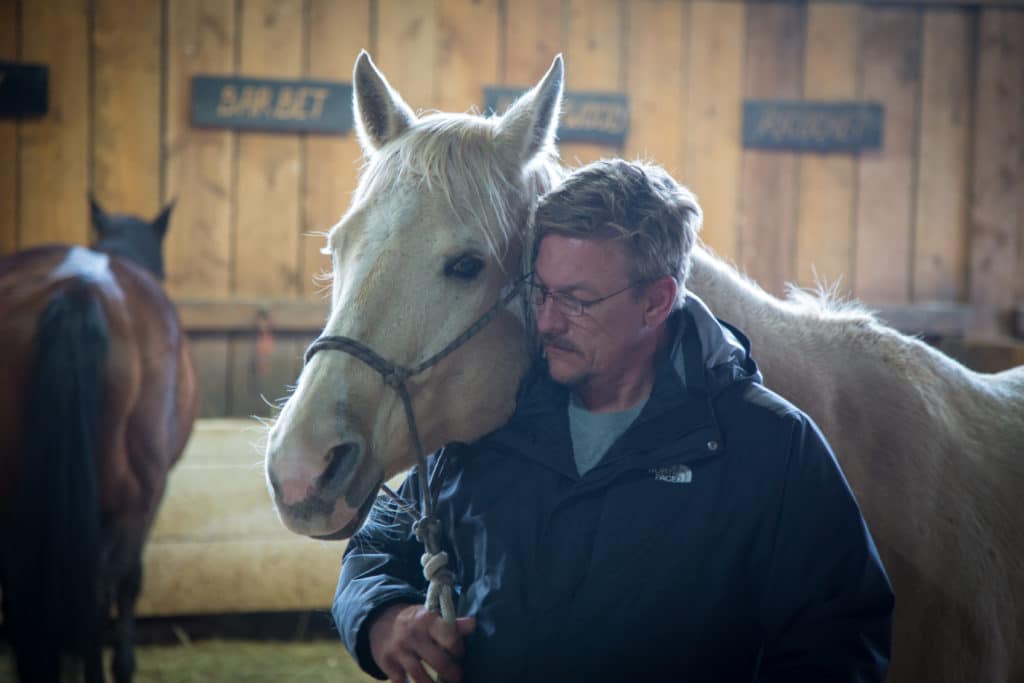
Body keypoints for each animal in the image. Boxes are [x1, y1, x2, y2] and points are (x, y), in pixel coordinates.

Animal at [0, 198, 199, 683]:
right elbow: (129, 582)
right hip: (129, 498)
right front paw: (122, 664)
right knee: (103, 585)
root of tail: (79, 288)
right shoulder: (151, 496)